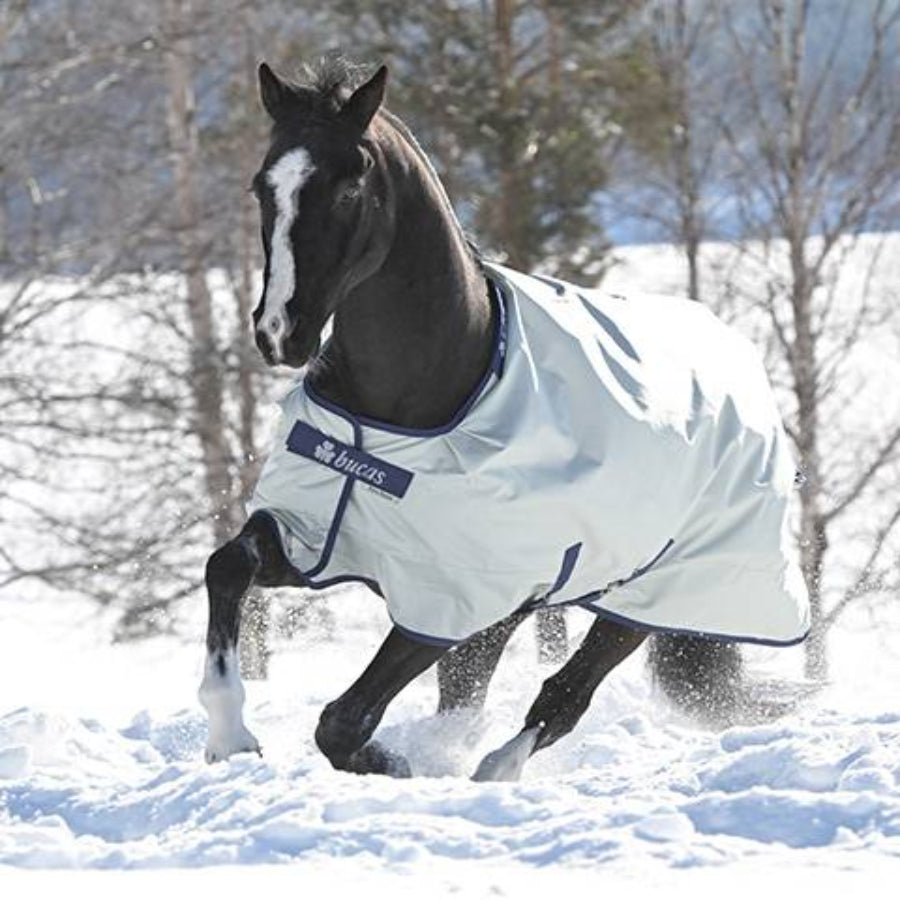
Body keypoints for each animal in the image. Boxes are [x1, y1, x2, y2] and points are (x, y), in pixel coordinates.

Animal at [198, 58, 810, 781]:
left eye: (349, 189)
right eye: (263, 186)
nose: (279, 334)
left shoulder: (453, 598)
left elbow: (342, 725)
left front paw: (406, 766)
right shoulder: (317, 536)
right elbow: (226, 565)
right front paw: (232, 736)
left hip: (647, 600)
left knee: (562, 698)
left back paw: (491, 772)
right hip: (529, 611)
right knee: (483, 698)